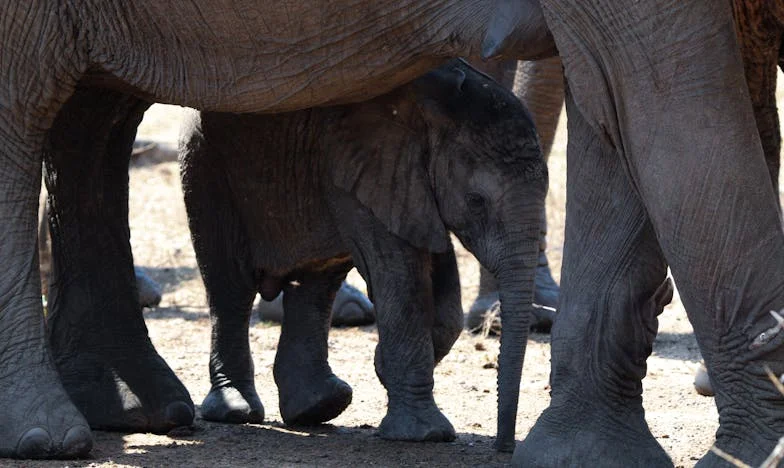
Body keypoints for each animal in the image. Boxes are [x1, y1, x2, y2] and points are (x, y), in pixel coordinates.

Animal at [179, 60, 544, 448]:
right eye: (476, 202)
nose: (504, 446)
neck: (436, 110)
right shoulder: (374, 168)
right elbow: (400, 276)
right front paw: (425, 434)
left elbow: (440, 288)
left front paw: (385, 366)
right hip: (205, 166)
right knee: (231, 286)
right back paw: (238, 411)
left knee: (316, 284)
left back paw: (319, 408)